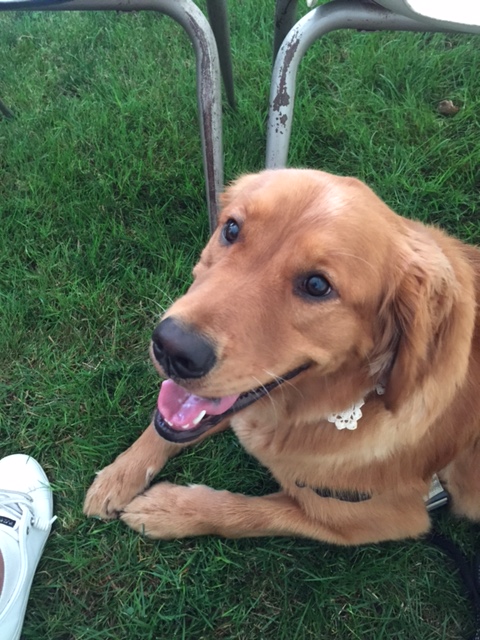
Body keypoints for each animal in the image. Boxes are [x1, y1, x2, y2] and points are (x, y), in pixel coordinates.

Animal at [84, 168, 480, 544]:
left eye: (317, 285)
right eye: (231, 228)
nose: (171, 347)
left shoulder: (375, 519)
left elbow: (247, 512)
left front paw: (169, 509)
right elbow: (164, 426)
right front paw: (120, 474)